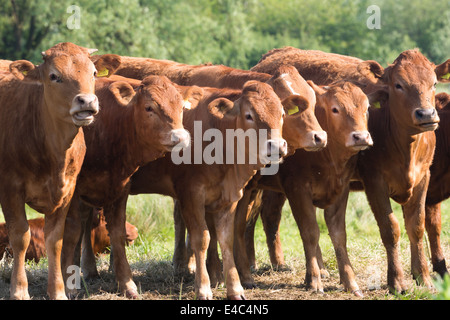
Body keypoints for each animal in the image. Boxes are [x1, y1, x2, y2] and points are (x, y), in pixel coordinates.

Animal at [0, 42, 120, 300]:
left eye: (94, 73)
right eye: (54, 76)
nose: (87, 102)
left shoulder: (67, 191)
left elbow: (55, 239)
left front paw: (57, 291)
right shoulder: (10, 189)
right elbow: (20, 236)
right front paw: (19, 289)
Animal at [59, 74, 197, 298]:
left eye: (181, 108)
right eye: (149, 107)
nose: (181, 137)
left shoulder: (120, 187)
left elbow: (117, 232)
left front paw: (126, 283)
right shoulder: (73, 189)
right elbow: (71, 232)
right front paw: (67, 284)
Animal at [251, 47, 448, 292]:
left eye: (433, 83)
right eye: (398, 84)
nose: (426, 114)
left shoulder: (423, 179)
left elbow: (417, 226)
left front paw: (423, 276)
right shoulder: (375, 182)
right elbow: (390, 229)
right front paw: (396, 281)